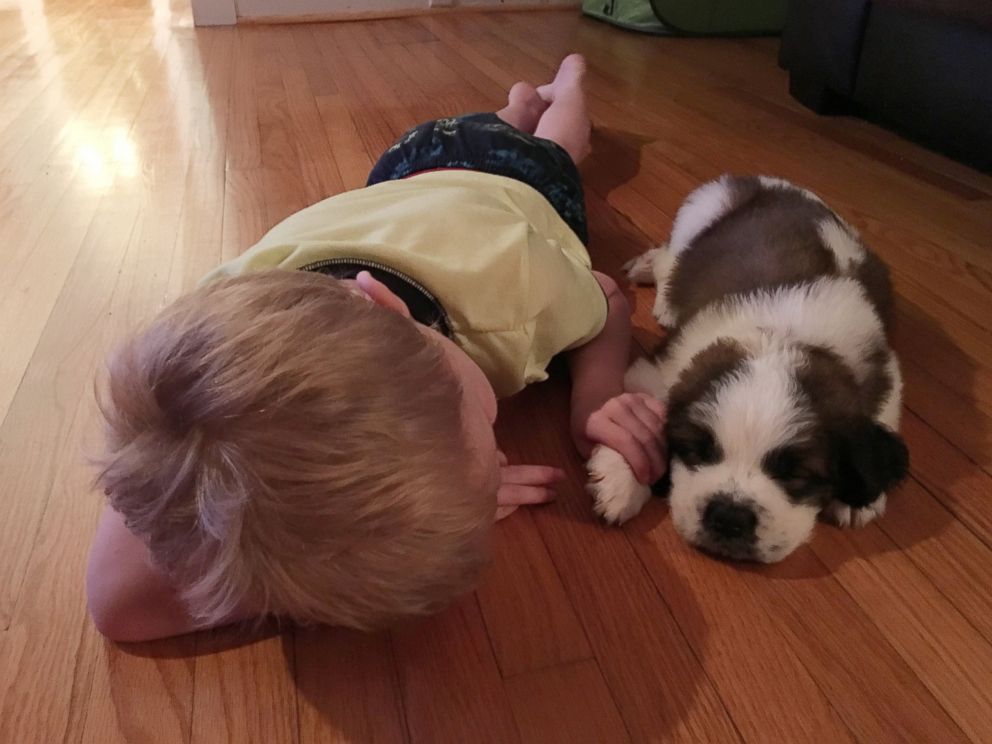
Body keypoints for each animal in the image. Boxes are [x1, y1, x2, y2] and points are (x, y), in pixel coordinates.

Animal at [588, 176, 908, 564]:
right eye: (698, 450)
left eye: (795, 474)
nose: (729, 515)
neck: (782, 336)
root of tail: (769, 183)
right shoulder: (662, 367)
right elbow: (640, 410)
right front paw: (622, 475)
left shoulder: (883, 371)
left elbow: (883, 413)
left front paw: (860, 497)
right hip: (701, 210)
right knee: (672, 257)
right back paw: (658, 284)